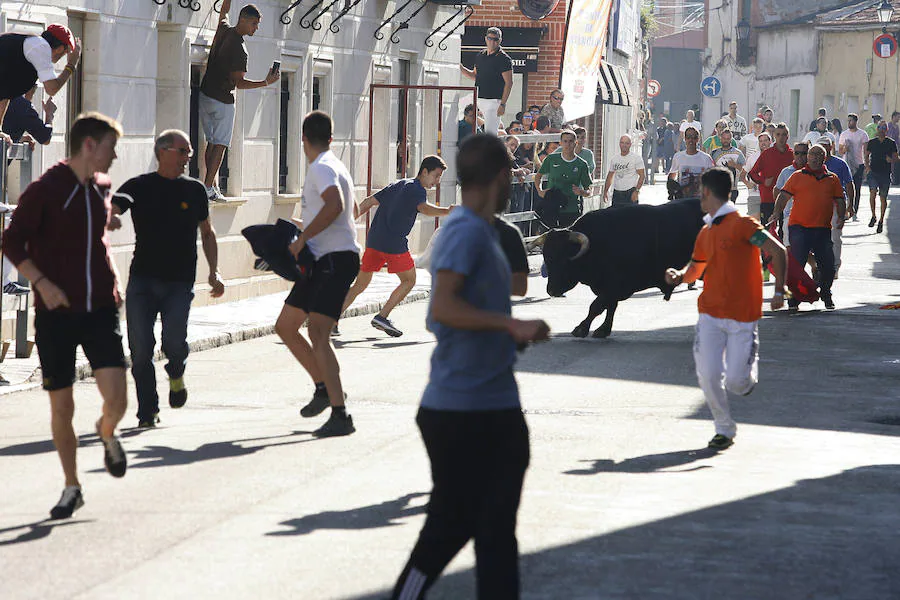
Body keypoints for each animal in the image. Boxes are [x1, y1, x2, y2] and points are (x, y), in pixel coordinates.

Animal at [532, 202, 708, 340]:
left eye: (563, 259)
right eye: (546, 258)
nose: (551, 290)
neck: (598, 244)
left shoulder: (616, 286)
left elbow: (596, 306)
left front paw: (581, 328)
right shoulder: (609, 288)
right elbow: (610, 307)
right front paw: (603, 330)